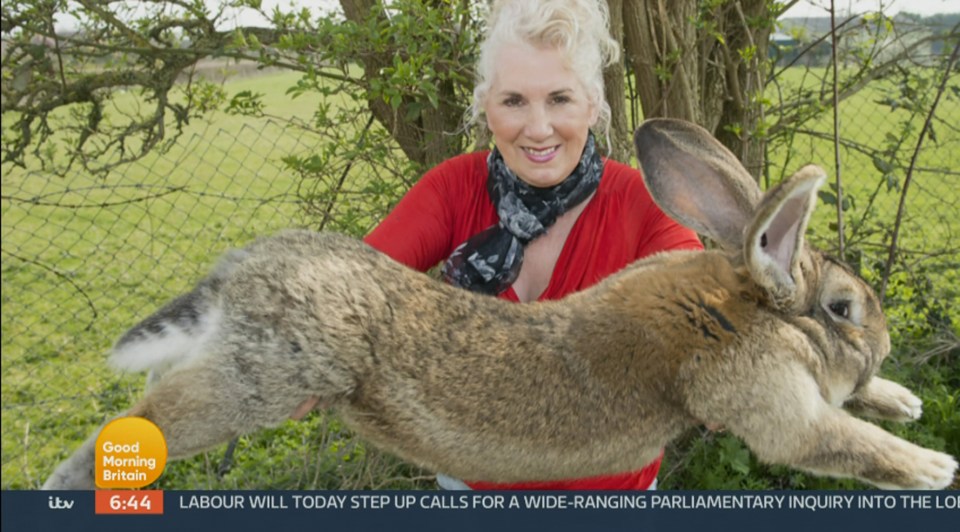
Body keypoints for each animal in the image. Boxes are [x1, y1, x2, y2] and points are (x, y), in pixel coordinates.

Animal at [41, 117, 956, 490]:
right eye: (844, 308)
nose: (881, 344)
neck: (744, 307)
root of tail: (237, 275)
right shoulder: (769, 401)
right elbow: (835, 440)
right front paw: (933, 468)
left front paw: (901, 399)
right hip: (258, 381)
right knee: (143, 423)